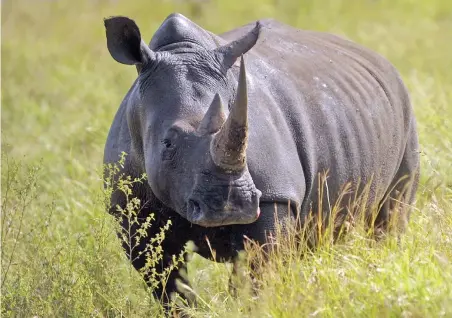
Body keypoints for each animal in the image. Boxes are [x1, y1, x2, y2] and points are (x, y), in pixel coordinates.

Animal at [103, 13, 420, 310]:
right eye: (167, 144)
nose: (232, 207)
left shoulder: (274, 195)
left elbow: (255, 272)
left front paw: (249, 307)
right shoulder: (130, 211)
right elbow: (168, 283)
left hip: (403, 110)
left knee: (390, 215)